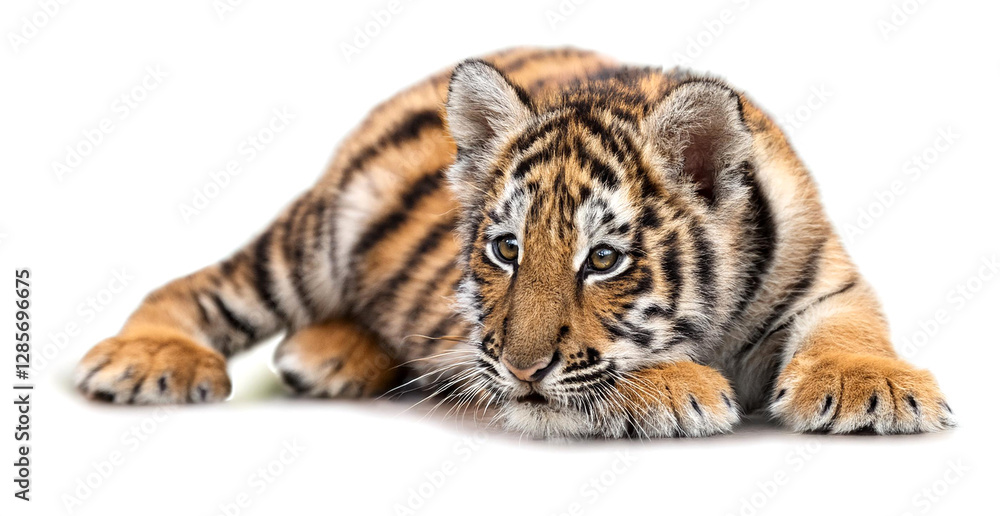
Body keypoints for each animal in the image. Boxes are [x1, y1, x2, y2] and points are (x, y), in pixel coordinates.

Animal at [75, 47, 954, 438]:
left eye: (604, 260)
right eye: (505, 250)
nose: (522, 368)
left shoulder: (826, 276)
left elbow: (852, 327)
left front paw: (870, 387)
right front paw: (676, 386)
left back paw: (328, 354)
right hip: (309, 243)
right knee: (196, 289)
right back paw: (150, 360)